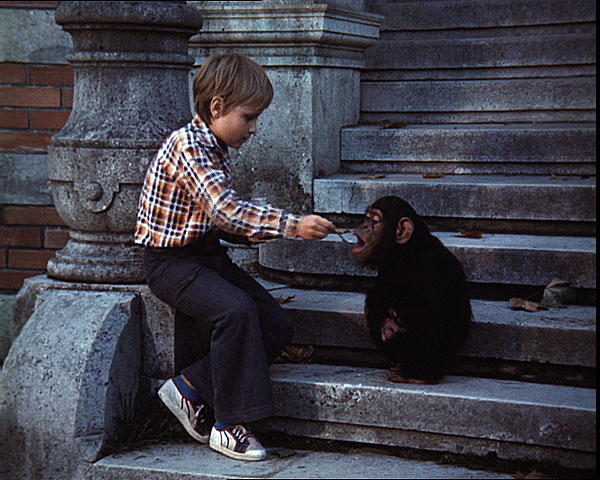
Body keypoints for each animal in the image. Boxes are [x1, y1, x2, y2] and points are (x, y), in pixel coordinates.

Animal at [352, 195, 474, 382]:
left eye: (375, 220)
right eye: (367, 218)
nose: (364, 225)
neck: (405, 254)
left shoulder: (427, 266)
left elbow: (430, 315)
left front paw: (390, 324)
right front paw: (385, 321)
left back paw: (417, 375)